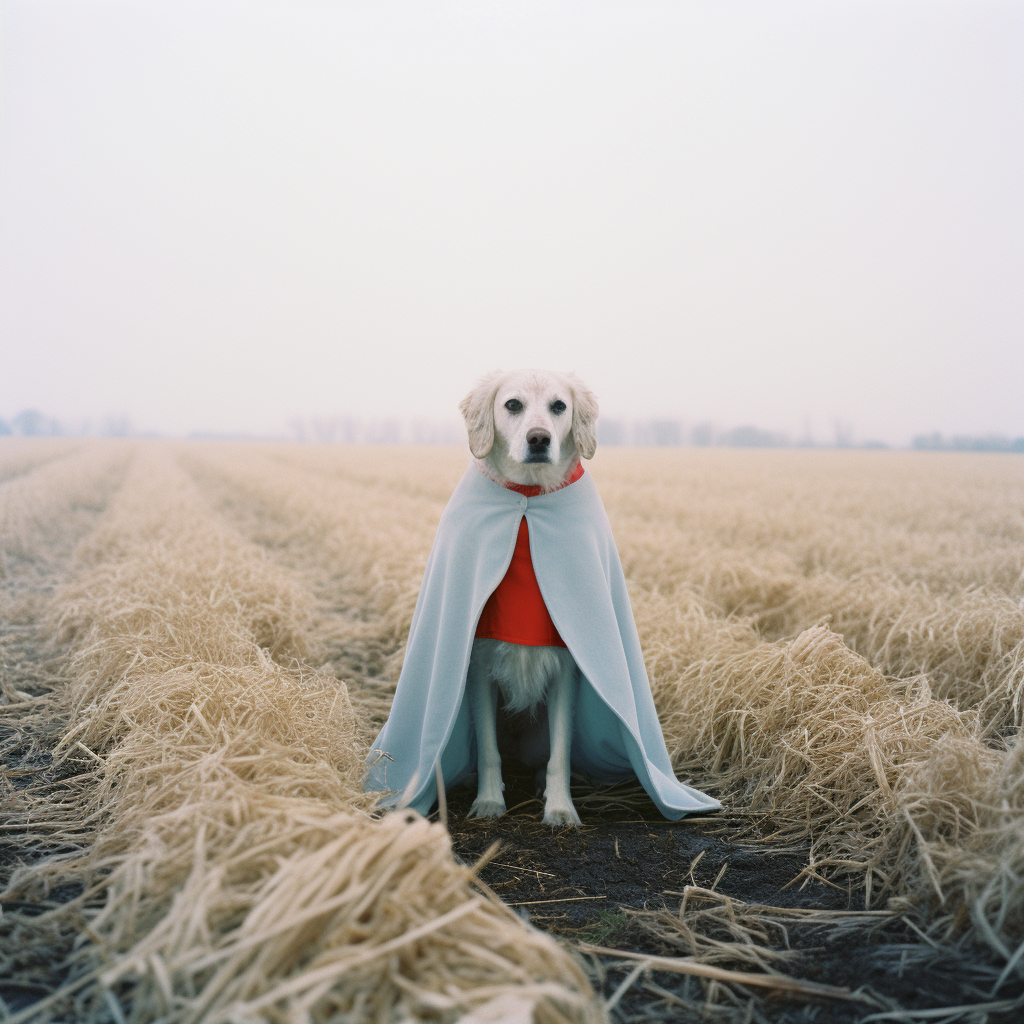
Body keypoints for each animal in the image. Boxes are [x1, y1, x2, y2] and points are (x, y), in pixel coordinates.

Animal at [458, 372, 598, 827]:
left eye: (559, 406)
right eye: (513, 405)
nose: (539, 439)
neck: (529, 502)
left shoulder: (566, 671)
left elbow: (560, 754)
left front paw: (560, 807)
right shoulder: (478, 670)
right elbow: (488, 751)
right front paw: (488, 802)